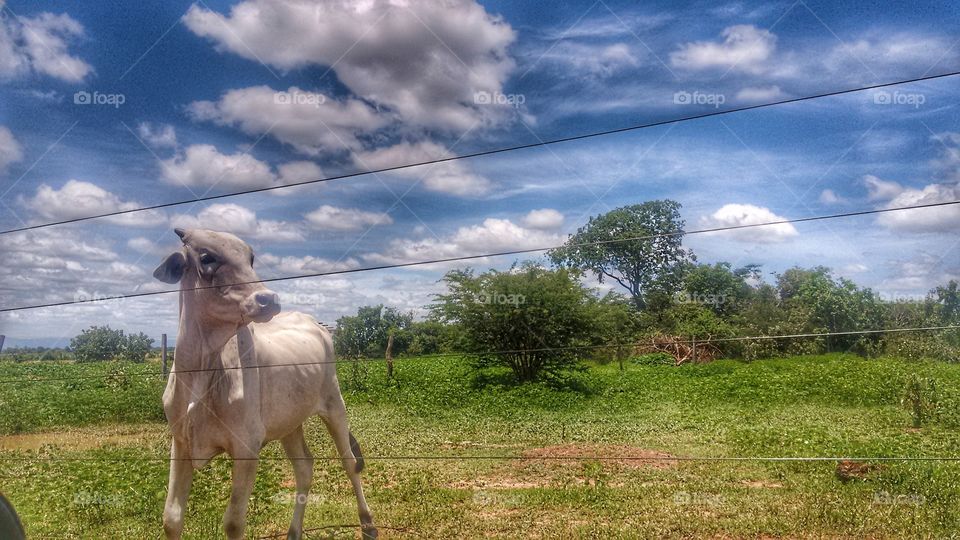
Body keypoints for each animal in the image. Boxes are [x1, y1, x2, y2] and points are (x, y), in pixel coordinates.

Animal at [152, 228, 376, 540]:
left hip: (334, 404)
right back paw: (294, 532)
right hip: (290, 422)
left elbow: (233, 522)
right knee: (304, 468)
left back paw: (368, 524)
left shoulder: (247, 447)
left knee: (350, 463)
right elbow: (171, 517)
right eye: (207, 257)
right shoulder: (181, 442)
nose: (268, 299)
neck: (202, 370)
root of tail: (317, 324)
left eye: (251, 259)